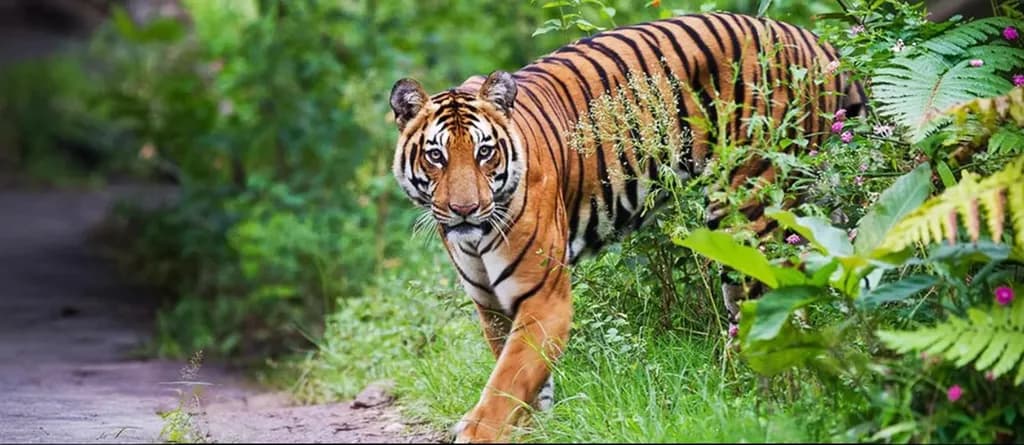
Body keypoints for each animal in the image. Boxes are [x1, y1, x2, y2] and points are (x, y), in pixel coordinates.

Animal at [388, 11, 865, 443]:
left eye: (485, 152)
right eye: (436, 156)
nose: (465, 209)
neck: (477, 239)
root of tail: (819, 44)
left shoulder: (544, 298)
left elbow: (507, 381)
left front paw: (480, 431)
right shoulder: (492, 307)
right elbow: (527, 383)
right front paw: (535, 431)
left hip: (749, 210)